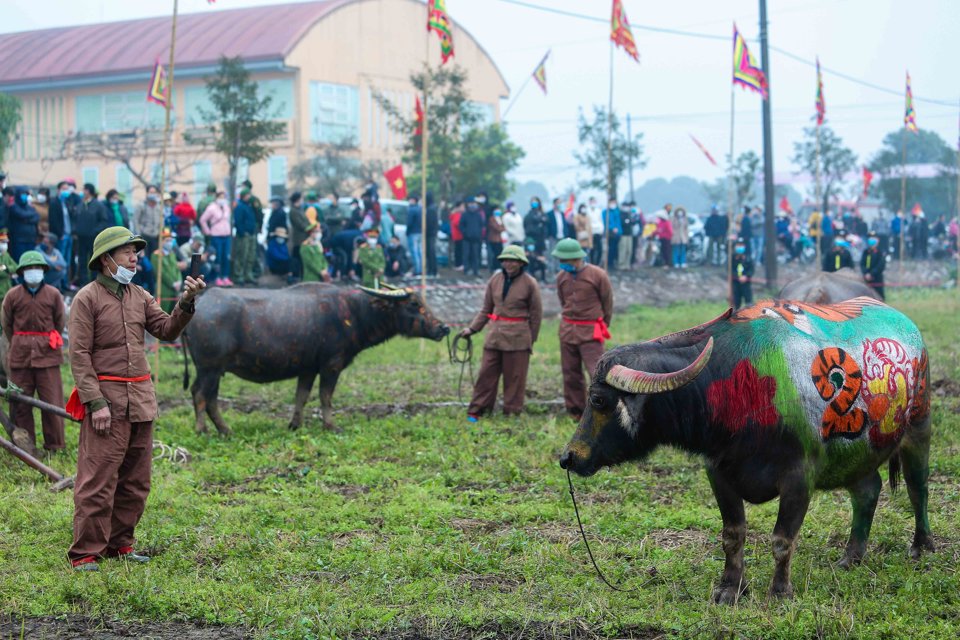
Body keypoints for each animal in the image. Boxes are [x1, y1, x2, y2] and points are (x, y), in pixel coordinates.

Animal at [187, 284, 450, 436]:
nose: (444, 327)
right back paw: (202, 430)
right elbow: (325, 396)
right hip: (210, 368)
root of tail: (198, 302)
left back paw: (225, 429)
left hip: (213, 370)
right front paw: (331, 425)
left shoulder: (308, 368)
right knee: (201, 396)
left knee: (207, 398)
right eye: (414, 304)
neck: (354, 312)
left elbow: (301, 396)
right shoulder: (331, 365)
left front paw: (295, 425)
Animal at [560, 298, 932, 604]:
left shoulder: (799, 477)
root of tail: (911, 328)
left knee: (917, 489)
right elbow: (733, 535)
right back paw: (851, 557)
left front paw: (780, 592)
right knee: (867, 491)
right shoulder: (718, 473)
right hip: (857, 455)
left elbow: (782, 540)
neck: (740, 390)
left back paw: (921, 547)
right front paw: (730, 588)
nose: (569, 457)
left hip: (918, 429)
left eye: (598, 400)